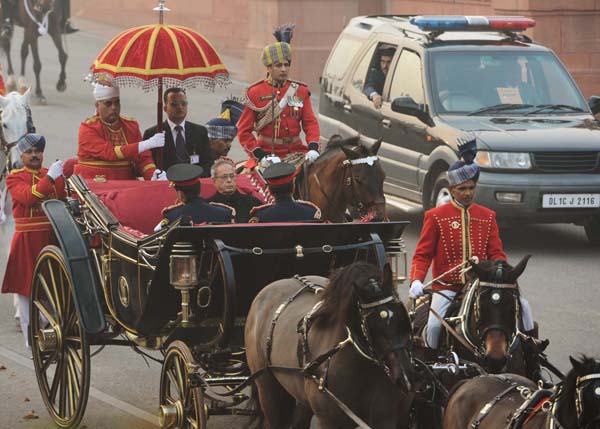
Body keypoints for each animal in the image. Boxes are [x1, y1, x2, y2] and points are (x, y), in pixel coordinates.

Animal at [246, 262, 414, 426]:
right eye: (371, 327)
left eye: (403, 318)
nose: (406, 378)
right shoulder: (328, 421)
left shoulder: (385, 418)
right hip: (267, 389)